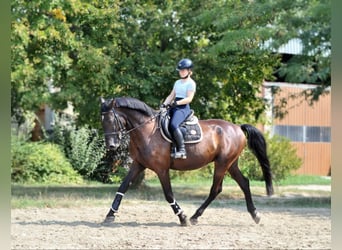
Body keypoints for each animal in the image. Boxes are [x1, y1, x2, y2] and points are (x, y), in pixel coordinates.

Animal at [100, 96, 274, 226]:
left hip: (222, 163)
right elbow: (122, 187)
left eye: (111, 120)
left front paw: (182, 217)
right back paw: (255, 215)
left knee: (216, 189)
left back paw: (194, 216)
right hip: (231, 164)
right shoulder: (138, 165)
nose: (111, 145)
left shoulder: (161, 169)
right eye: (102, 121)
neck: (146, 131)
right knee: (244, 183)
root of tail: (237, 127)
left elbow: (168, 194)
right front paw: (110, 215)